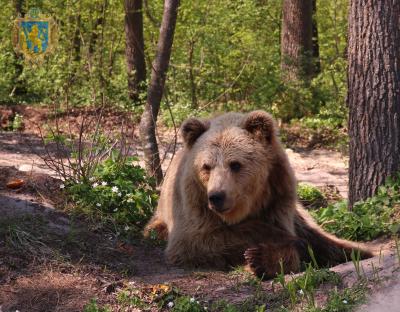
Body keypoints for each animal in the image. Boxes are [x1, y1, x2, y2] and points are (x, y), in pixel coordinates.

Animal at [145, 110, 374, 278]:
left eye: (235, 164)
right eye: (206, 166)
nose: (217, 196)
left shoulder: (278, 196)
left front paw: (262, 260)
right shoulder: (194, 204)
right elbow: (196, 240)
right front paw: (272, 245)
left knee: (323, 236)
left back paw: (361, 251)